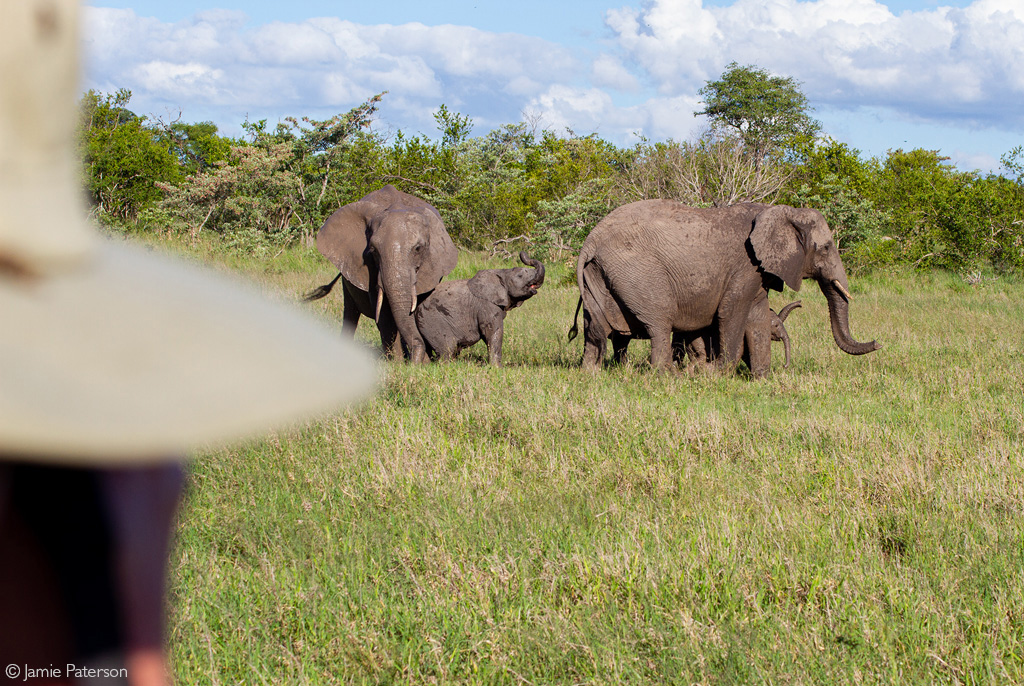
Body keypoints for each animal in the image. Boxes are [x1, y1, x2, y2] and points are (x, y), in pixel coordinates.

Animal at [301, 182, 458, 364]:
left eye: (418, 249)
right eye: (373, 250)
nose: (417, 361)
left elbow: (416, 309)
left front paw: (421, 362)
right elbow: (384, 313)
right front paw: (397, 363)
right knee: (350, 312)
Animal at [413, 252, 544, 368]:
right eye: (520, 276)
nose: (522, 253)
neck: (501, 272)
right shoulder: (486, 305)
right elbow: (493, 332)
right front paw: (497, 368)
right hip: (432, 320)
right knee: (447, 349)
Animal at [569, 201, 880, 378]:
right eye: (825, 247)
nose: (878, 343)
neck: (783, 211)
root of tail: (591, 239)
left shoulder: (756, 272)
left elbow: (756, 315)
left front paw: (762, 379)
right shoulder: (745, 266)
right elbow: (731, 314)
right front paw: (713, 373)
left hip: (599, 274)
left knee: (594, 328)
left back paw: (590, 373)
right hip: (639, 273)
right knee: (658, 324)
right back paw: (667, 376)